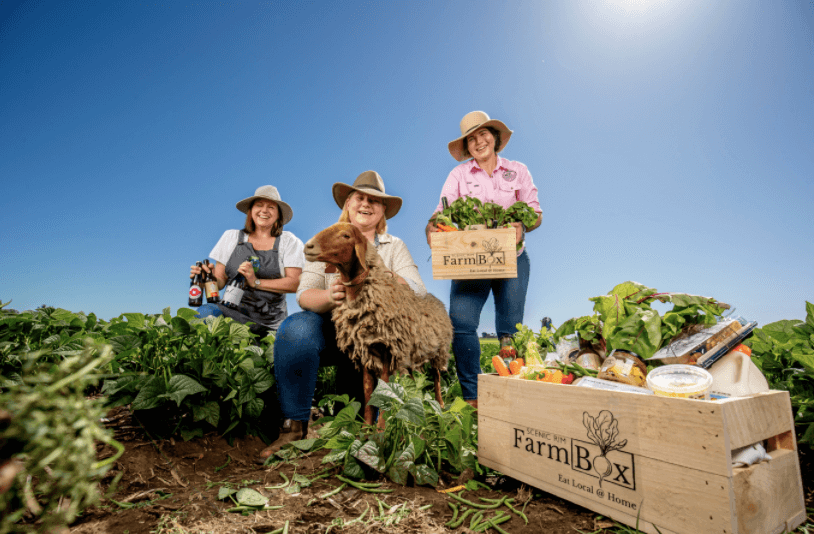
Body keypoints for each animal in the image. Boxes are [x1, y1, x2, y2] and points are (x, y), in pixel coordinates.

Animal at [306, 223, 456, 428]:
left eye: (345, 235)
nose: (308, 247)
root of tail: (436, 299)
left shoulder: (388, 351)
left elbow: (385, 390)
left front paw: (381, 429)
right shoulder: (366, 351)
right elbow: (369, 392)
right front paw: (366, 428)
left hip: (438, 352)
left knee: (437, 378)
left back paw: (440, 406)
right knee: (412, 379)